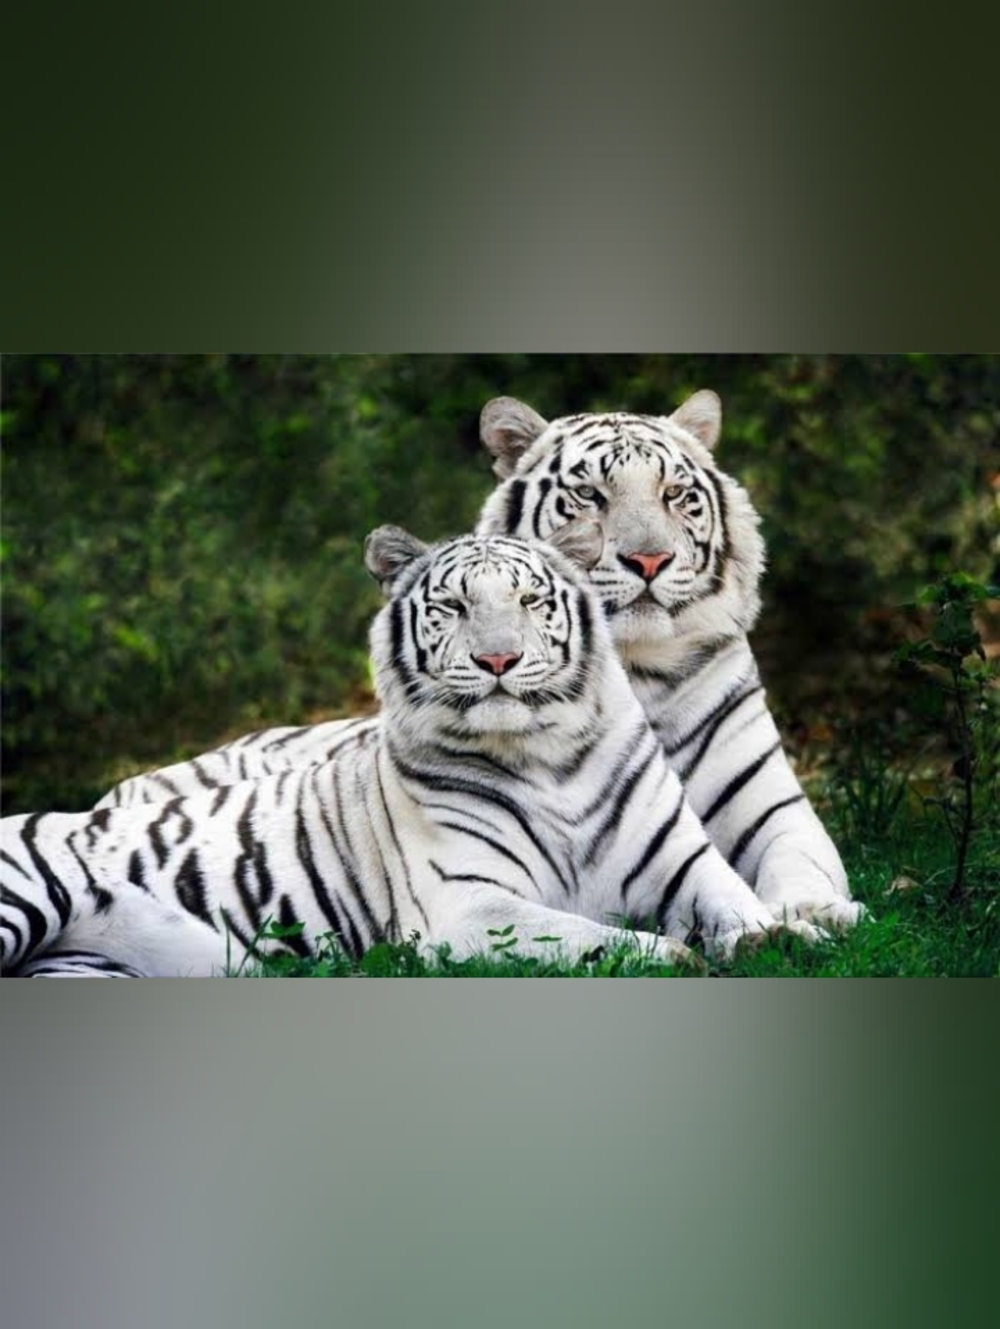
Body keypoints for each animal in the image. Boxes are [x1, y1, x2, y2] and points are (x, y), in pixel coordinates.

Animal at [2, 527, 821, 977]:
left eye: (530, 601)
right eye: (453, 606)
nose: (498, 660)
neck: (550, 756)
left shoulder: (684, 862)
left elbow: (739, 904)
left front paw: (790, 935)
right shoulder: (468, 905)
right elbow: (595, 936)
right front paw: (675, 955)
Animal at [99, 390, 862, 936]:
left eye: (676, 494)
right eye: (590, 495)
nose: (648, 560)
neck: (636, 671)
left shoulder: (772, 807)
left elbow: (802, 862)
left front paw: (820, 914)